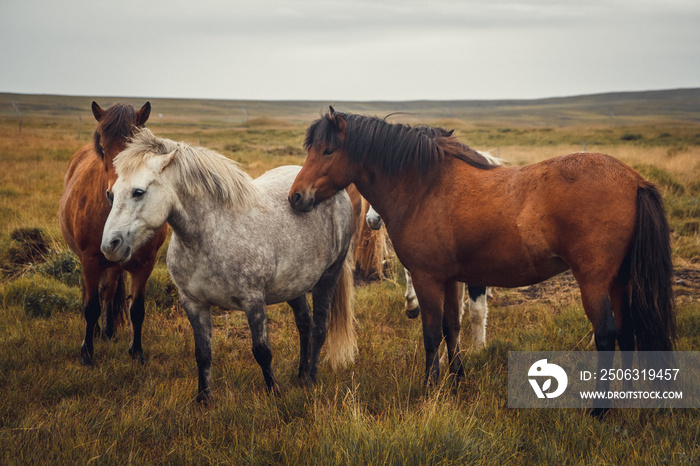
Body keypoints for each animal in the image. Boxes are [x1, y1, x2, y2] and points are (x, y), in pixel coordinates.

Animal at [57, 101, 167, 364]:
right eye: (103, 149)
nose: (114, 195)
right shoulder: (89, 259)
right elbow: (90, 306)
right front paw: (87, 353)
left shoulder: (145, 263)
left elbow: (137, 309)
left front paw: (136, 351)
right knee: (95, 293)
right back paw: (97, 332)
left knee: (108, 289)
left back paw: (107, 330)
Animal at [288, 104, 676, 400]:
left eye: (327, 150)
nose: (296, 196)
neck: (425, 187)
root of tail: (633, 179)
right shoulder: (451, 278)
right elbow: (452, 327)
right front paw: (458, 379)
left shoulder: (428, 278)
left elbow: (432, 333)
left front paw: (430, 388)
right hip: (619, 281)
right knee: (627, 332)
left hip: (594, 282)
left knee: (607, 334)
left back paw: (601, 410)